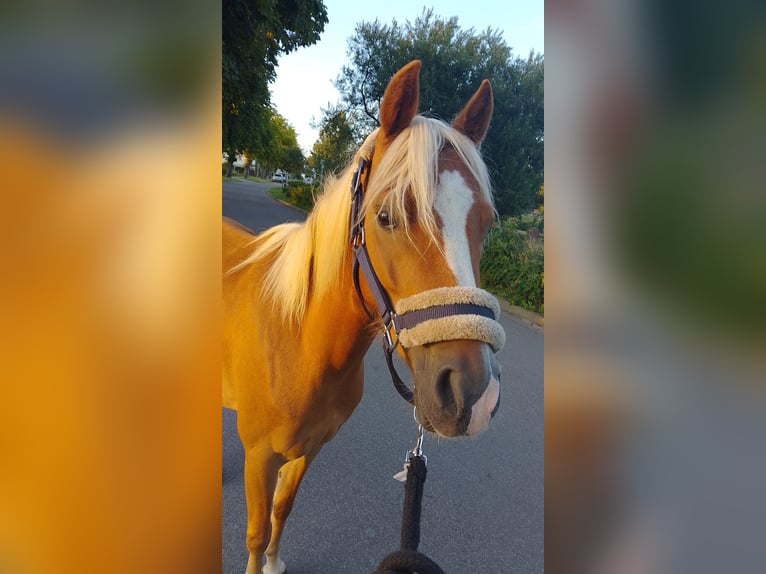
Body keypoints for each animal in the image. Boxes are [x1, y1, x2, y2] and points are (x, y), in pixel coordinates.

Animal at [222, 62, 508, 574]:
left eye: (487, 221)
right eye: (385, 216)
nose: (473, 394)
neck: (299, 341)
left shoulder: (309, 449)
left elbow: (282, 509)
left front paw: (275, 562)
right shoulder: (260, 457)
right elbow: (255, 531)